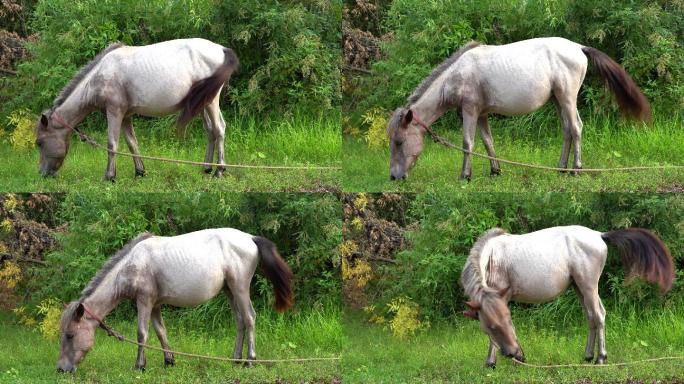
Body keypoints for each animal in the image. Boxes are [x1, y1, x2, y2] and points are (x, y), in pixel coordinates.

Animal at [35, 39, 238, 180]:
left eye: (39, 143)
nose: (42, 174)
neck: (98, 76)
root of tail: (222, 50)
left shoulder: (114, 112)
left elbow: (112, 144)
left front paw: (109, 176)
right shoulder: (126, 116)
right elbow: (132, 143)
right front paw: (140, 172)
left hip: (211, 102)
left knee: (219, 129)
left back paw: (219, 171)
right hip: (203, 102)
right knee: (211, 131)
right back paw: (206, 168)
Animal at [58, 228, 292, 372]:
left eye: (70, 335)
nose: (61, 369)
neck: (132, 264)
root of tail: (250, 238)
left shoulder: (144, 302)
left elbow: (142, 334)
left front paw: (139, 366)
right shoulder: (154, 305)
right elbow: (161, 332)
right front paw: (169, 360)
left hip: (240, 289)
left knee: (250, 318)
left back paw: (249, 361)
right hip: (230, 291)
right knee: (241, 321)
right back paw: (235, 359)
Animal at [390, 36, 652, 181]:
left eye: (399, 142)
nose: (393, 177)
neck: (456, 75)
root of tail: (579, 47)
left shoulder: (470, 110)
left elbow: (468, 143)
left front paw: (465, 176)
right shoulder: (482, 114)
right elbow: (488, 142)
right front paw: (495, 171)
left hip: (567, 98)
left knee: (576, 128)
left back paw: (576, 169)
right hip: (558, 100)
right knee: (568, 130)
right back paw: (561, 168)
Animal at [460, 226, 672, 368]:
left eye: (507, 320)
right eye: (492, 327)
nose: (513, 353)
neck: (491, 257)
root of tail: (598, 234)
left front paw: (492, 362)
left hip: (588, 286)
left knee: (598, 316)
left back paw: (600, 358)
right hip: (579, 288)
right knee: (592, 316)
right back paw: (587, 356)